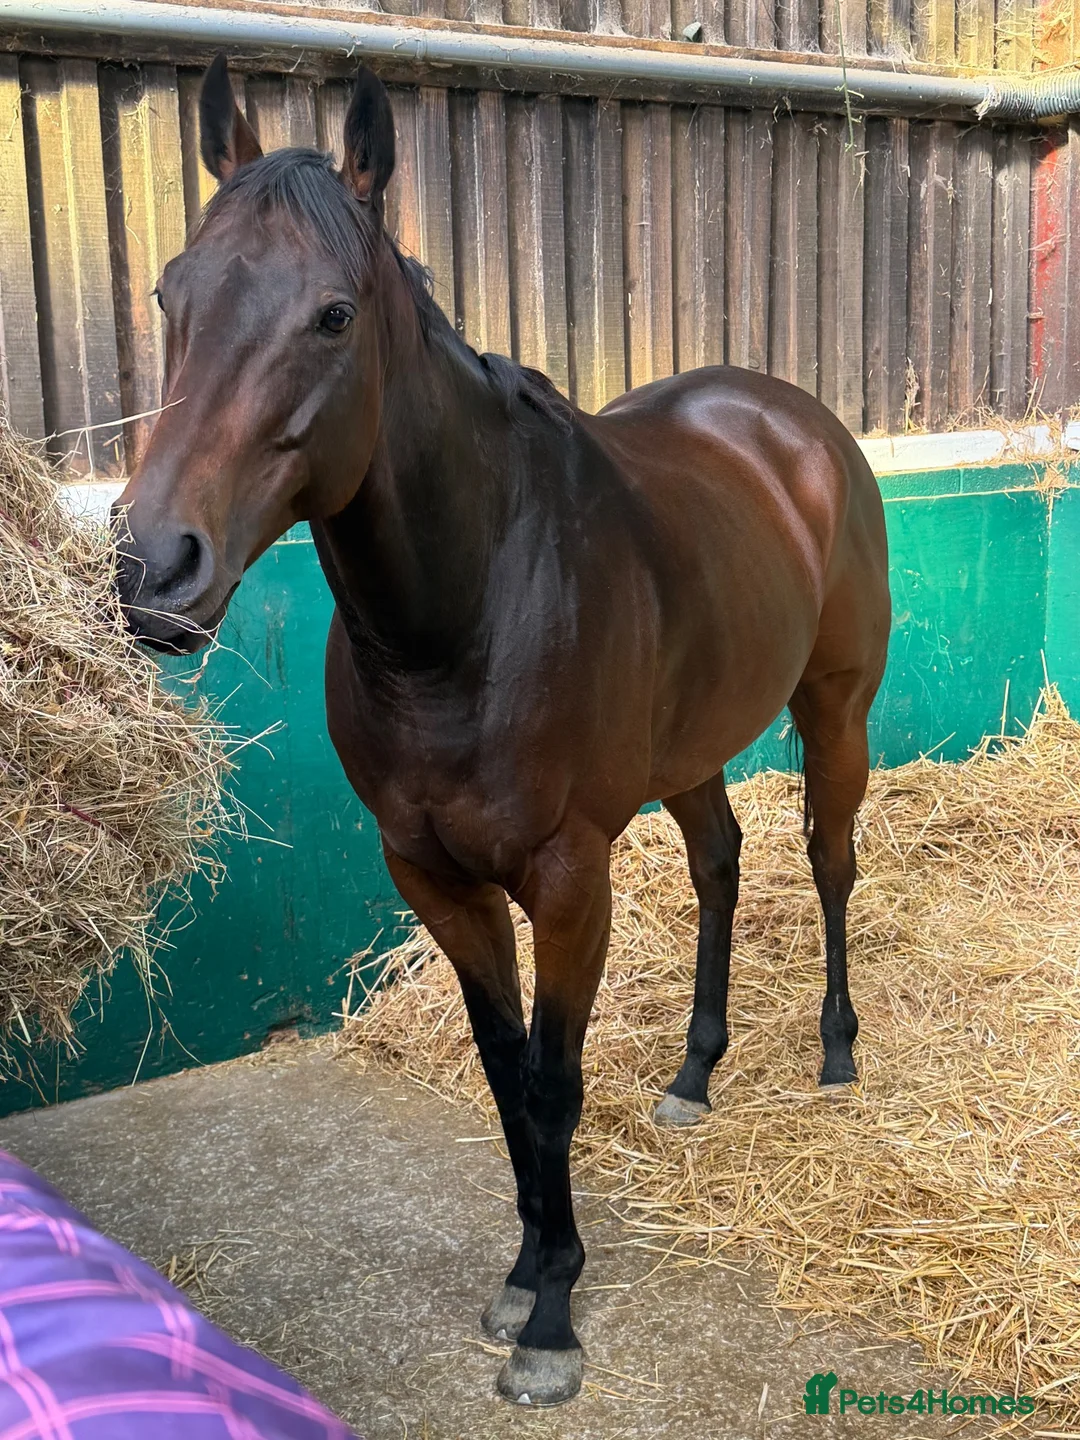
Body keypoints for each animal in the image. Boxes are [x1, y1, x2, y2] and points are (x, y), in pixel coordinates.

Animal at [114, 56, 891, 1407]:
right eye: (172, 292)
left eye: (332, 316)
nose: (156, 568)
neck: (463, 615)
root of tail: (795, 423)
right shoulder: (433, 876)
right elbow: (502, 1073)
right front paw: (528, 1269)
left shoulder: (568, 877)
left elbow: (553, 1078)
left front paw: (556, 1319)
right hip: (689, 755)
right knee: (721, 864)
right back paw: (694, 1076)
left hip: (835, 707)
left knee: (829, 861)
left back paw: (835, 1058)